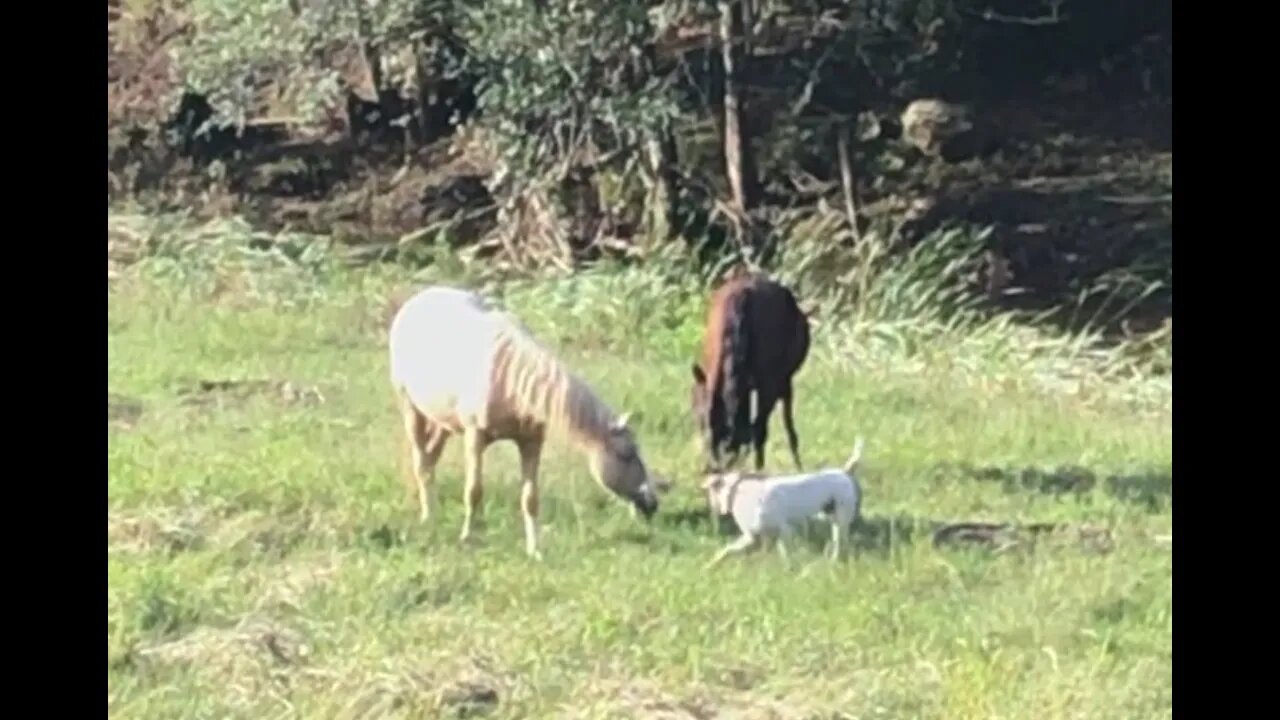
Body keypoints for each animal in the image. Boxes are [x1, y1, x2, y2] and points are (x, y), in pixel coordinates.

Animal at [386, 283, 670, 558]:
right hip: (410, 409)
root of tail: (417, 299)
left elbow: (530, 497)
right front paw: (468, 537)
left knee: (431, 458)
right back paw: (428, 517)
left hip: (442, 421)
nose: (652, 503)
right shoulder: (474, 437)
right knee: (422, 463)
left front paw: (535, 549)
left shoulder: (531, 441)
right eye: (627, 454)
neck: (510, 378)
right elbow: (474, 491)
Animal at [701, 438, 870, 566]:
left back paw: (835, 560)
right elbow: (728, 550)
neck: (738, 492)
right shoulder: (757, 536)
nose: (713, 512)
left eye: (710, 493)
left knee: (841, 542)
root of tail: (845, 472)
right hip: (832, 517)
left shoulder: (783, 531)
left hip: (840, 519)